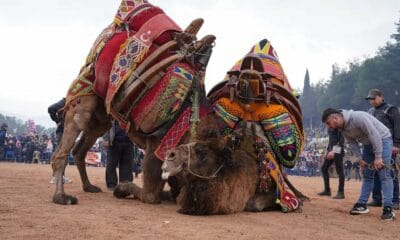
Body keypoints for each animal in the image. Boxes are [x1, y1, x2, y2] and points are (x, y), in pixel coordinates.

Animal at [52, 0, 217, 205]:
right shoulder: (156, 147)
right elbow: (150, 195)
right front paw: (122, 188)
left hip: (101, 118)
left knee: (79, 149)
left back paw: (88, 186)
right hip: (82, 99)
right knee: (64, 148)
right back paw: (61, 196)